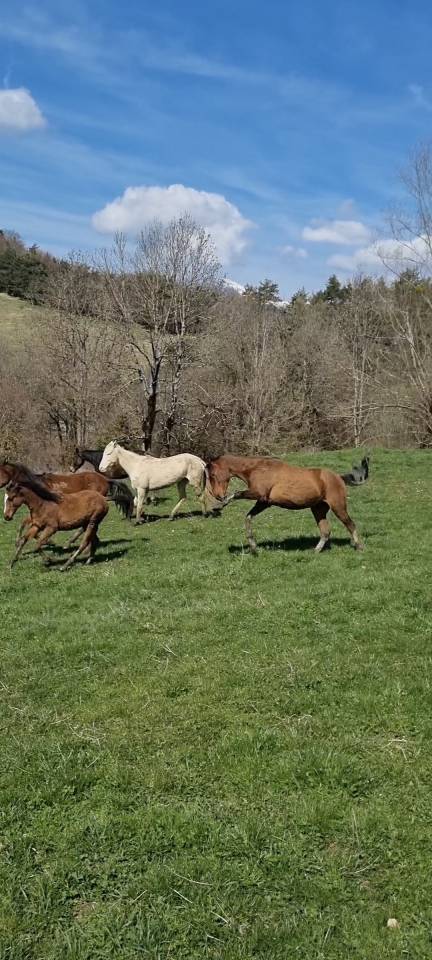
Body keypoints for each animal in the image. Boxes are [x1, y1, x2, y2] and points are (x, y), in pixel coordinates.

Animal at [205, 454, 366, 554]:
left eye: (212, 475)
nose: (218, 495)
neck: (256, 468)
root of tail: (338, 477)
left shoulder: (258, 494)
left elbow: (237, 493)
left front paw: (219, 505)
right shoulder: (264, 502)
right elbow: (248, 517)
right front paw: (253, 546)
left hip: (338, 506)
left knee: (350, 525)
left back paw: (359, 547)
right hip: (318, 509)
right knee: (325, 531)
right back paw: (315, 551)